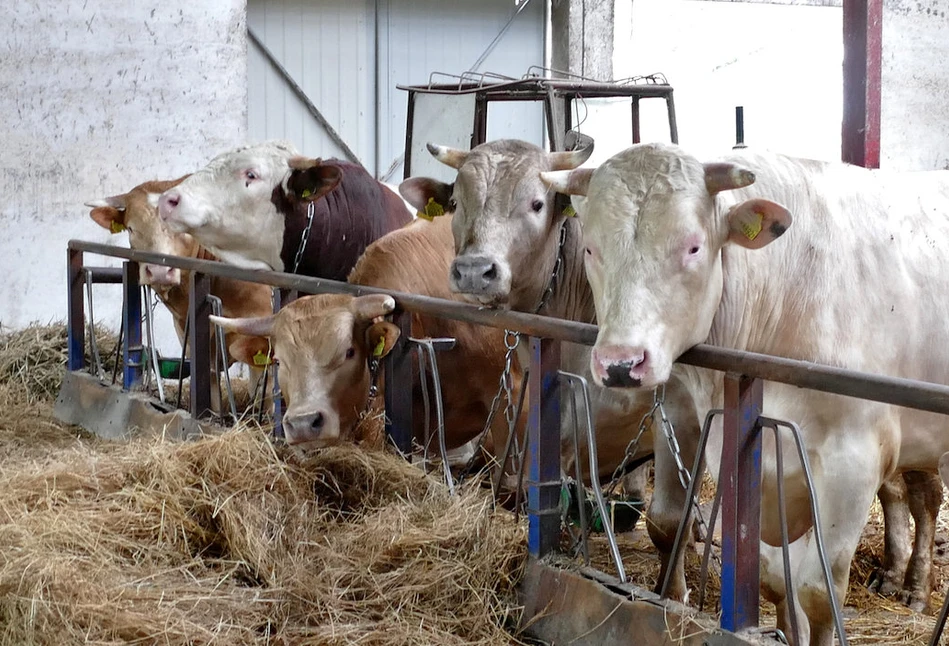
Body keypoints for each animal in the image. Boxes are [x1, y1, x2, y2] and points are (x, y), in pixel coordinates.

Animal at [544, 144, 948, 644]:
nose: (620, 363)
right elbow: (769, 573)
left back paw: (913, 589)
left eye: (694, 246)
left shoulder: (854, 461)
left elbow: (818, 590)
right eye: (591, 248)